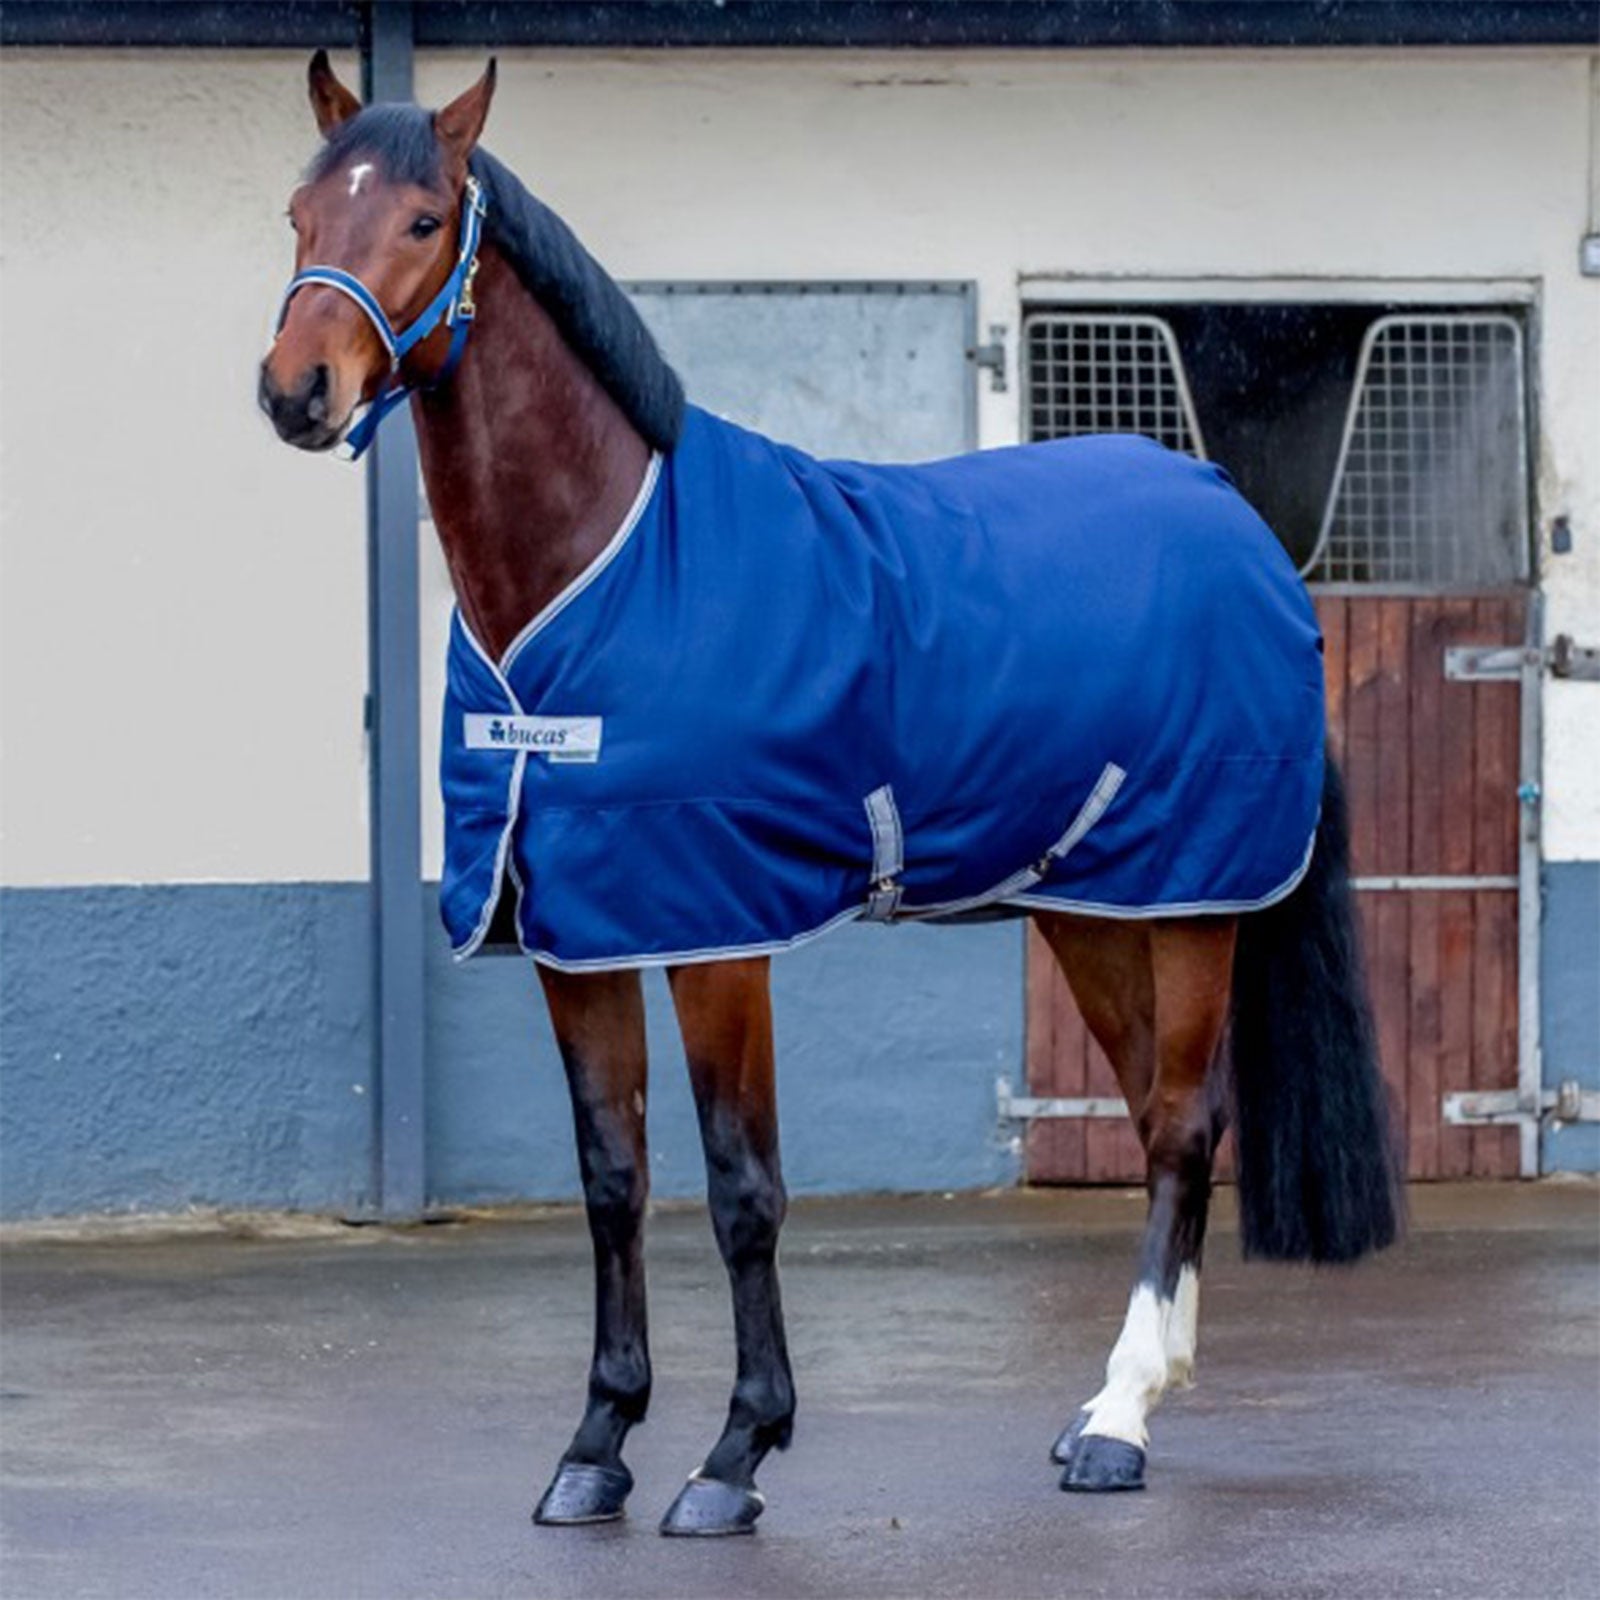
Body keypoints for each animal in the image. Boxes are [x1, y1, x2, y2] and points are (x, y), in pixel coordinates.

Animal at [259, 55, 1401, 1536]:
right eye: (298, 214)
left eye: (420, 217)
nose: (296, 390)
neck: (601, 567)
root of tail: (1237, 522)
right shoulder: (576, 937)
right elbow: (612, 1180)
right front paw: (595, 1445)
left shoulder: (717, 933)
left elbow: (744, 1187)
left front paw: (736, 1454)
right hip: (1093, 911)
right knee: (1162, 1112)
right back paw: (1125, 1396)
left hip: (1191, 902)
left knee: (1183, 1125)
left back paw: (1117, 1423)